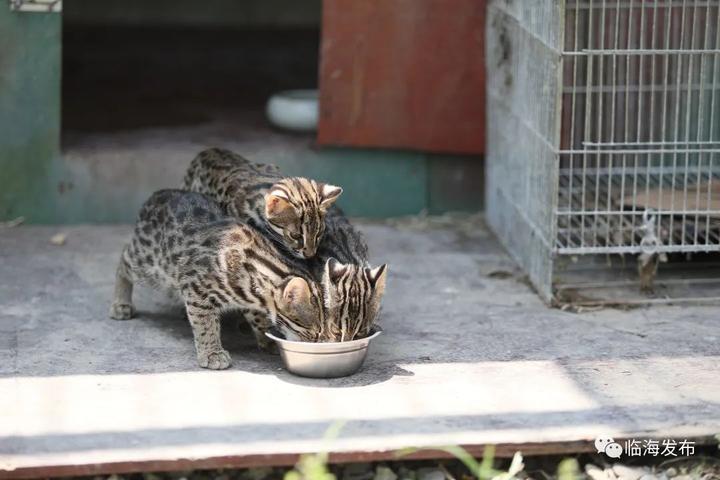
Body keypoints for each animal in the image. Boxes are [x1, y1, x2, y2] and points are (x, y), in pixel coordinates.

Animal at [109, 189, 326, 370]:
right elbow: (205, 323)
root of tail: (157, 195)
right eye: (315, 333)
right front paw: (212, 353)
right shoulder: (196, 288)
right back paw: (120, 303)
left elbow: (258, 317)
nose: (321, 343)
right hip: (151, 263)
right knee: (124, 258)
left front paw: (267, 338)